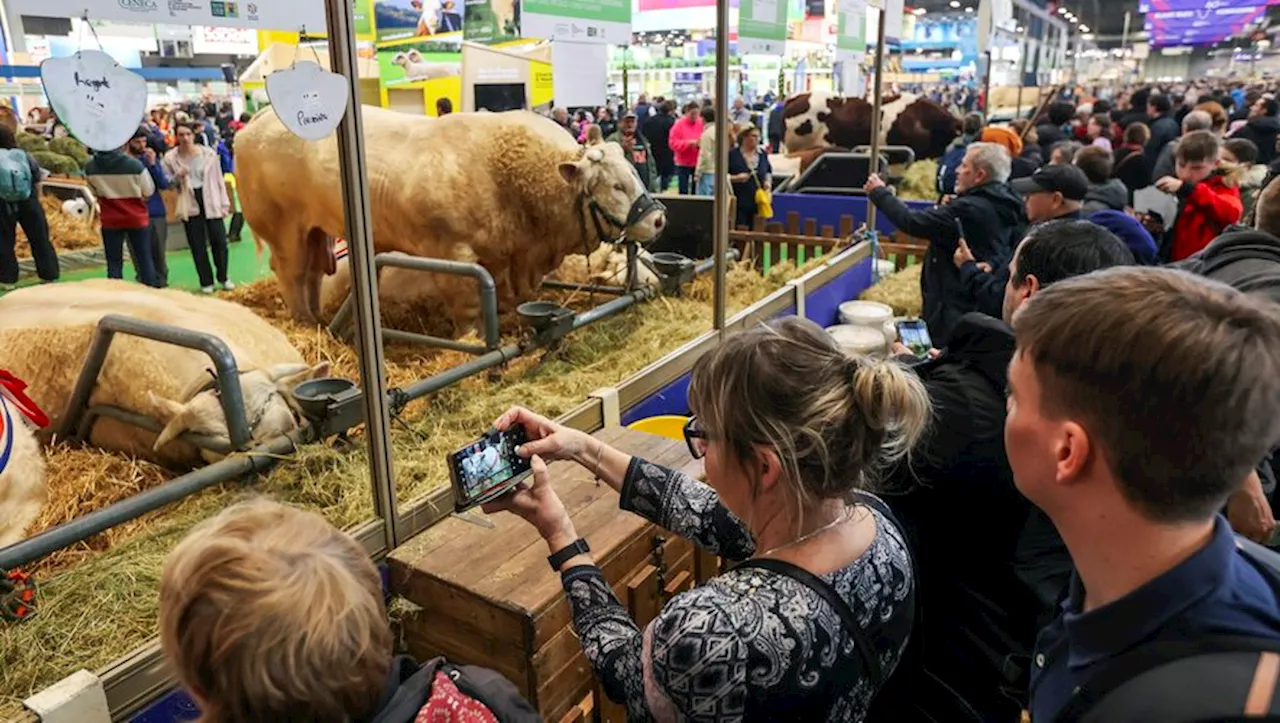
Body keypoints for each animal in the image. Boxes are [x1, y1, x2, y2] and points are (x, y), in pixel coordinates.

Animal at [236, 104, 670, 323]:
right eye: (615, 185)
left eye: (633, 171)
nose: (659, 218)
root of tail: (256, 121)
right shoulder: (451, 253)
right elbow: (470, 306)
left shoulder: (504, 255)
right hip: (283, 229)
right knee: (292, 274)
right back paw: (305, 321)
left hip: (314, 230)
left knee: (310, 273)